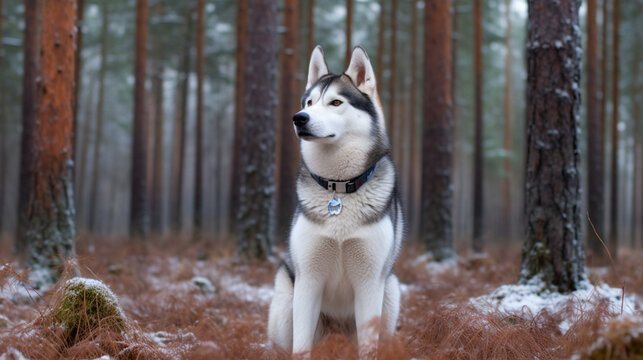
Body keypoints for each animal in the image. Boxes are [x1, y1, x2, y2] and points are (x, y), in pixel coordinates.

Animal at [266, 45, 402, 354]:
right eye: (309, 102)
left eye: (336, 102)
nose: (299, 117)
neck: (338, 190)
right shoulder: (308, 280)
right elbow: (301, 348)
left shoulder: (370, 281)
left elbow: (368, 347)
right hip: (285, 298)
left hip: (390, 289)